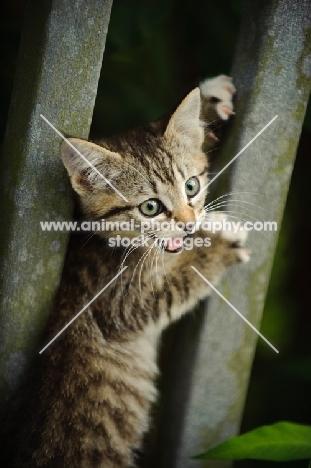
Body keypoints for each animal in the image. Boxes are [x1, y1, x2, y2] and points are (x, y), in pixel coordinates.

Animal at [0, 75, 249, 466]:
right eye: (150, 207)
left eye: (191, 186)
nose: (189, 225)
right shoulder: (120, 305)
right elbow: (177, 284)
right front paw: (219, 242)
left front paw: (210, 100)